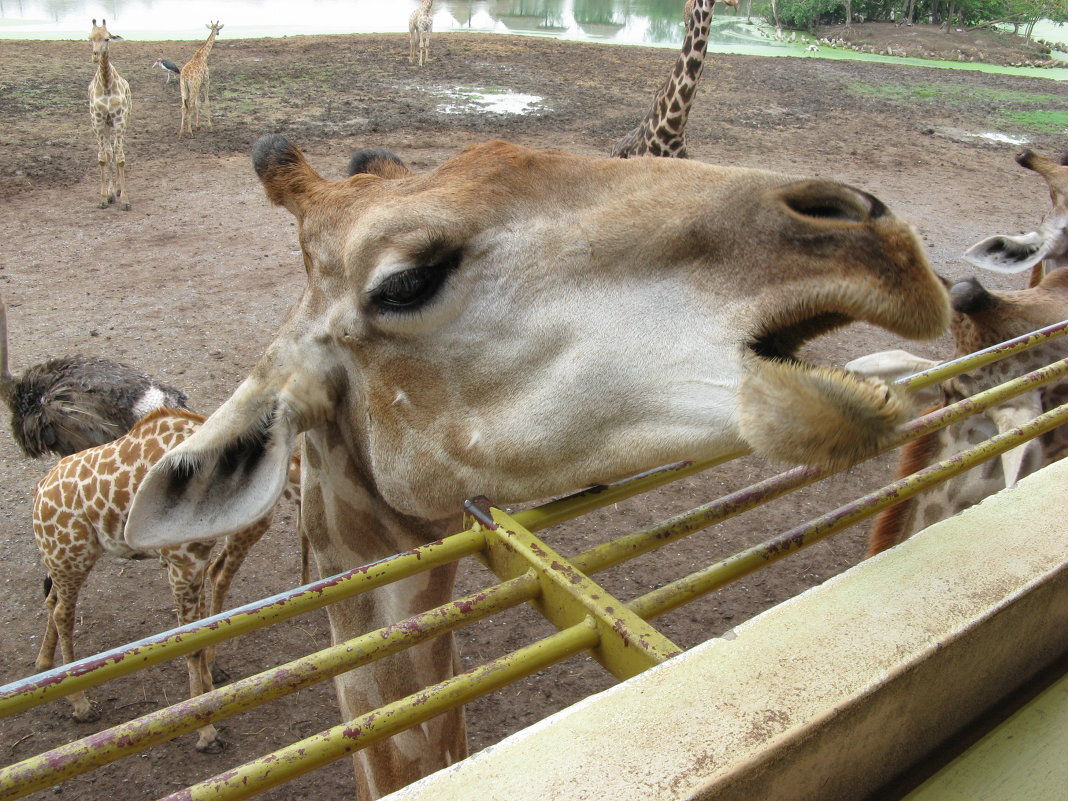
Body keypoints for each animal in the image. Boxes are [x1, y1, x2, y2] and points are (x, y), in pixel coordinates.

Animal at [33, 410, 301, 756]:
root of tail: (41, 490)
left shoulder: (197, 560)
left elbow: (203, 627)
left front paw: (211, 691)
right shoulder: (180, 564)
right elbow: (190, 642)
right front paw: (206, 731)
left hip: (66, 558)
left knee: (52, 602)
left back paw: (44, 664)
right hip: (70, 555)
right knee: (63, 614)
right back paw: (81, 704)